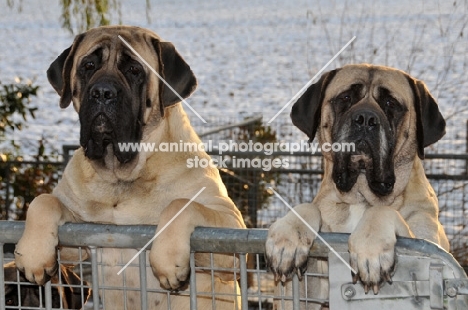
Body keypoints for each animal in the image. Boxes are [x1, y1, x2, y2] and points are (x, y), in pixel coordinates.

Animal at [14, 25, 245, 308]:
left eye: (134, 70)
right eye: (88, 66)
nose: (102, 92)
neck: (122, 175)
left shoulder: (229, 231)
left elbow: (181, 205)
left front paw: (167, 260)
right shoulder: (80, 237)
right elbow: (43, 200)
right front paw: (33, 254)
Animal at [266, 64, 448, 308]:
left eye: (390, 103)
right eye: (345, 98)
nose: (365, 118)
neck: (360, 195)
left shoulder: (425, 246)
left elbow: (382, 211)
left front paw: (370, 247)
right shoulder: (304, 290)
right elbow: (307, 207)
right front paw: (288, 237)